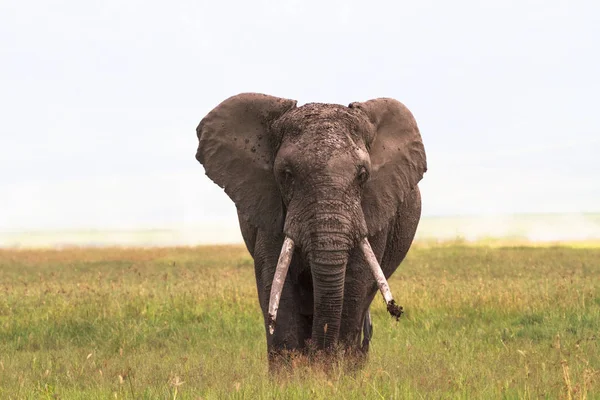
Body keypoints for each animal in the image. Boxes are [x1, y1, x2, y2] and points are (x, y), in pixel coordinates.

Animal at [193, 92, 426, 368]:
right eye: (287, 174)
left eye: (362, 175)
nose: (396, 310)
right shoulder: (271, 210)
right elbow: (276, 284)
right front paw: (295, 373)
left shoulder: (374, 210)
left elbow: (354, 284)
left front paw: (333, 371)